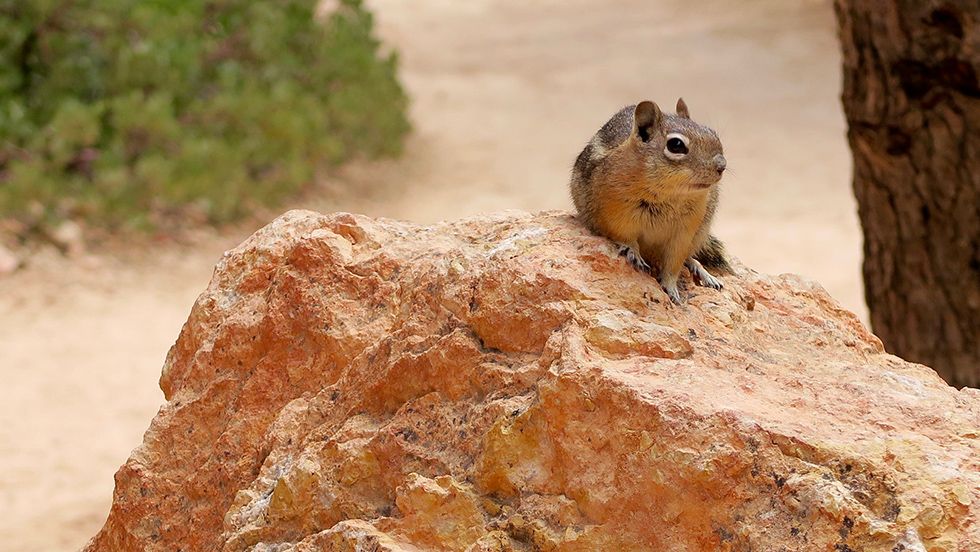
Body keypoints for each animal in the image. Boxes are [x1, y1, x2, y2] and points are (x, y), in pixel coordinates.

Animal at [570, 98, 732, 304]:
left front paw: (672, 289)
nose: (722, 165)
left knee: (690, 256)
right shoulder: (616, 215)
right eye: (676, 145)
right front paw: (633, 252)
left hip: (700, 232)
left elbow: (674, 264)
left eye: (712, 132)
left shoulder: (684, 232)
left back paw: (704, 272)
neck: (669, 194)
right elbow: (624, 237)